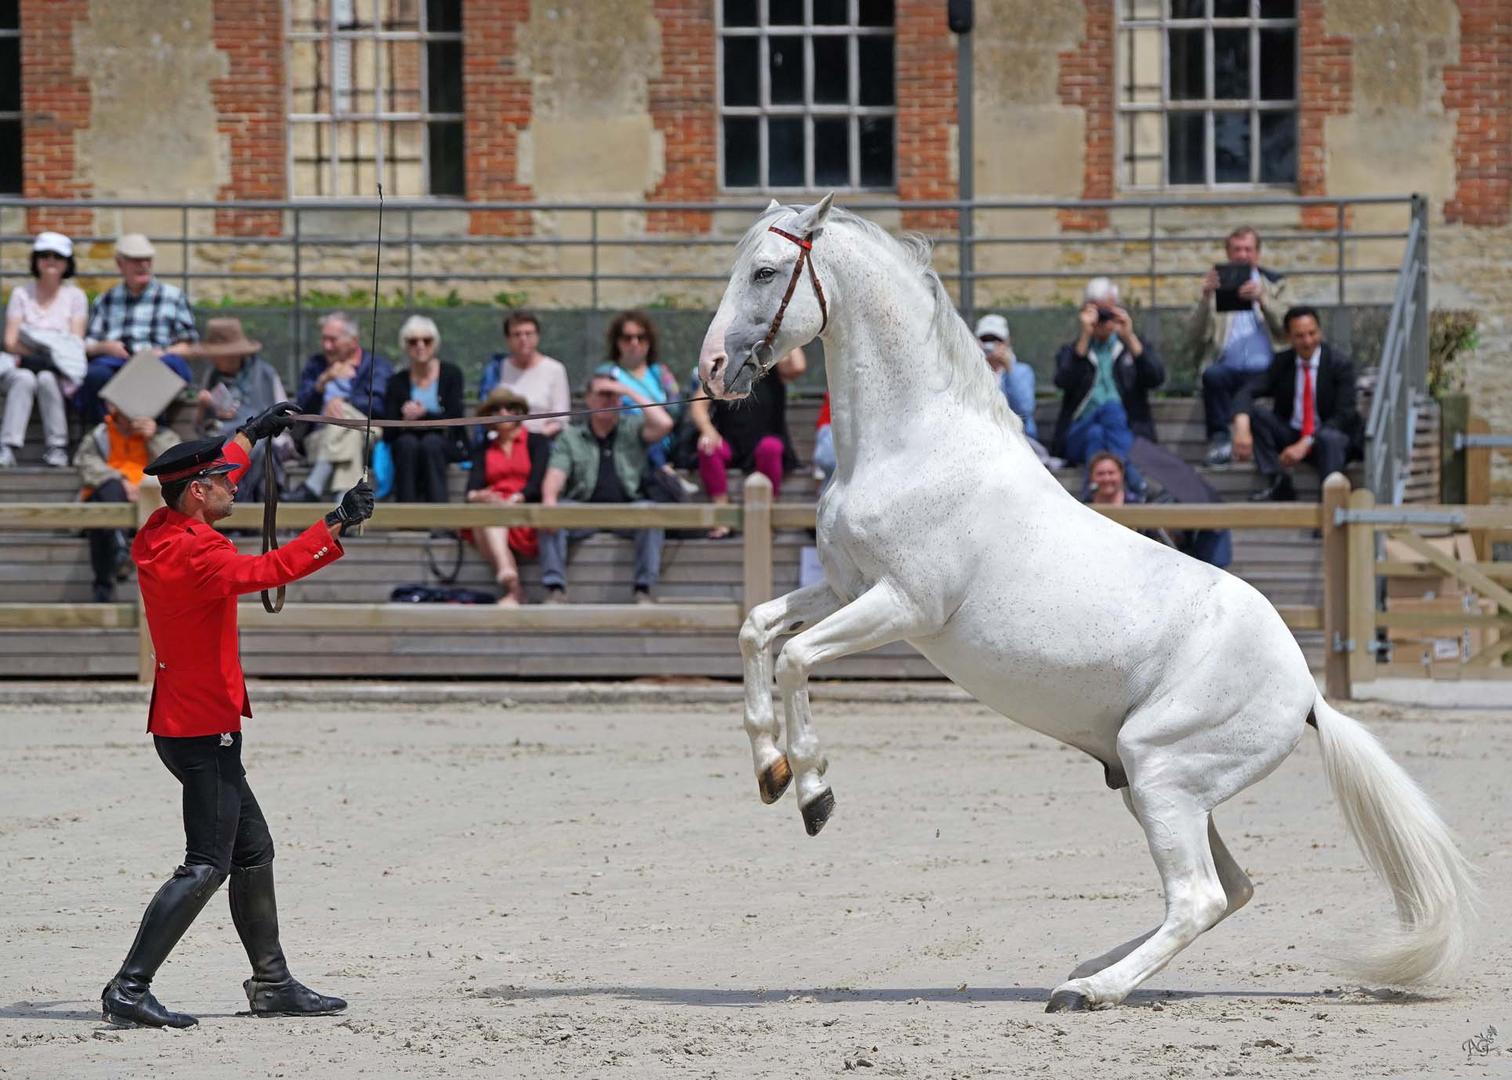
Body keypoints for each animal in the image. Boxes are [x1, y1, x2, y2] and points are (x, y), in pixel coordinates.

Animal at [701, 195, 1481, 1010]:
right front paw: (769, 771)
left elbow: (795, 656)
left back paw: (1089, 992)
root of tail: (1307, 695)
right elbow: (757, 631)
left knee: (1199, 896)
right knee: (1228, 891)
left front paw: (813, 793)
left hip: (1162, 770)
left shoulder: (903, 607)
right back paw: (1087, 969)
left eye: (765, 272)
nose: (713, 368)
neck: (915, 449)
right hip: (1161, 787)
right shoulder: (847, 586)